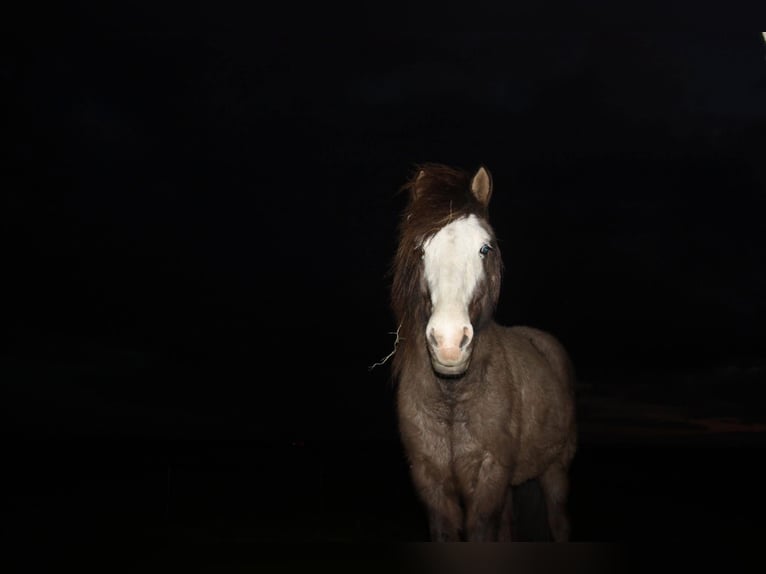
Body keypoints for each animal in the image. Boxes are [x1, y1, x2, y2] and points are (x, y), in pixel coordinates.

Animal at [388, 163, 577, 542]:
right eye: (420, 251)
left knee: (558, 523)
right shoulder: (432, 484)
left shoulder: (490, 478)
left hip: (555, 472)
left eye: (485, 249)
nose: (448, 341)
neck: (451, 401)